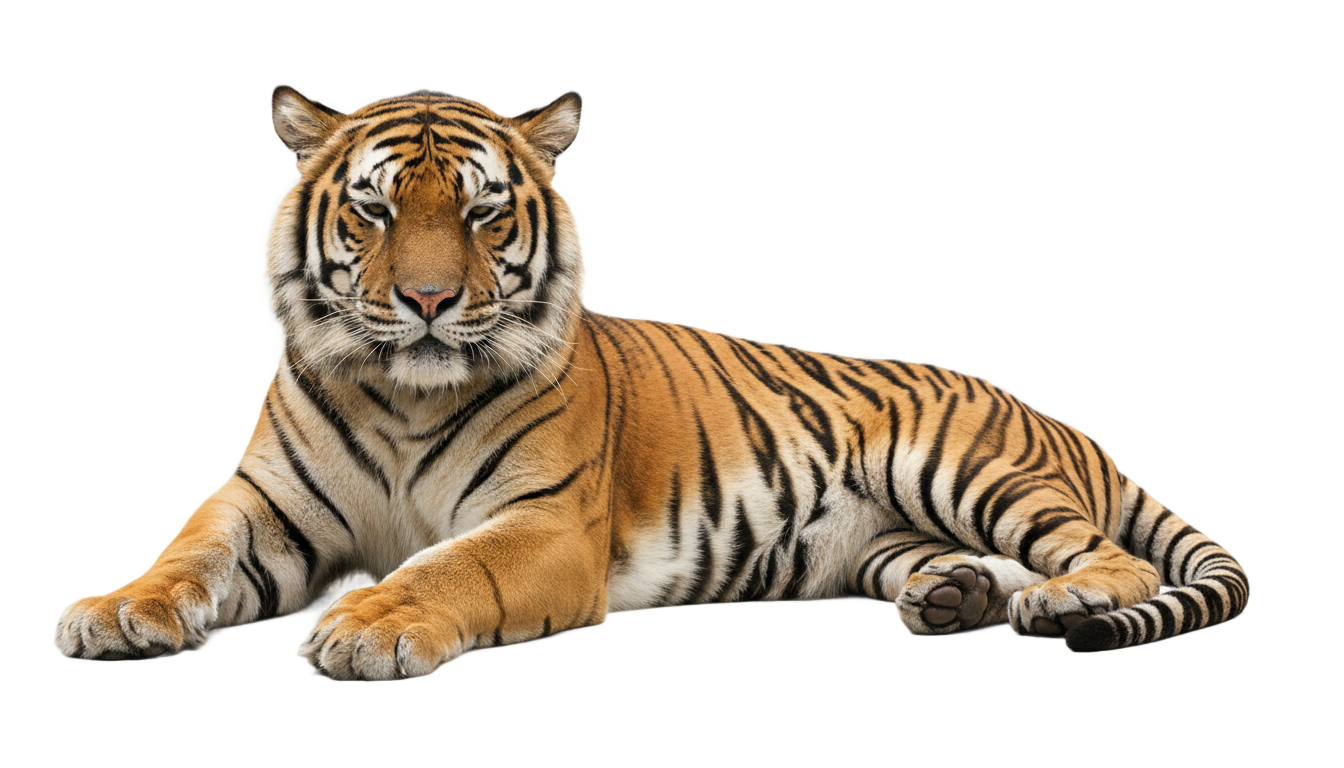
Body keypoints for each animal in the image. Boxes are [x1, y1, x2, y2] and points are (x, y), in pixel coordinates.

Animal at [54, 86, 1249, 679]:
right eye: (376, 209)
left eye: (483, 213)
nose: (431, 301)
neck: (402, 393)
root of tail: (1054, 419)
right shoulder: (263, 510)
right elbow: (185, 556)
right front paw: (112, 610)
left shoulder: (544, 527)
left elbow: (445, 568)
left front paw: (368, 625)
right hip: (891, 536)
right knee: (961, 567)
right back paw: (953, 597)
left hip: (965, 468)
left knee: (1109, 561)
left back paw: (1069, 597)